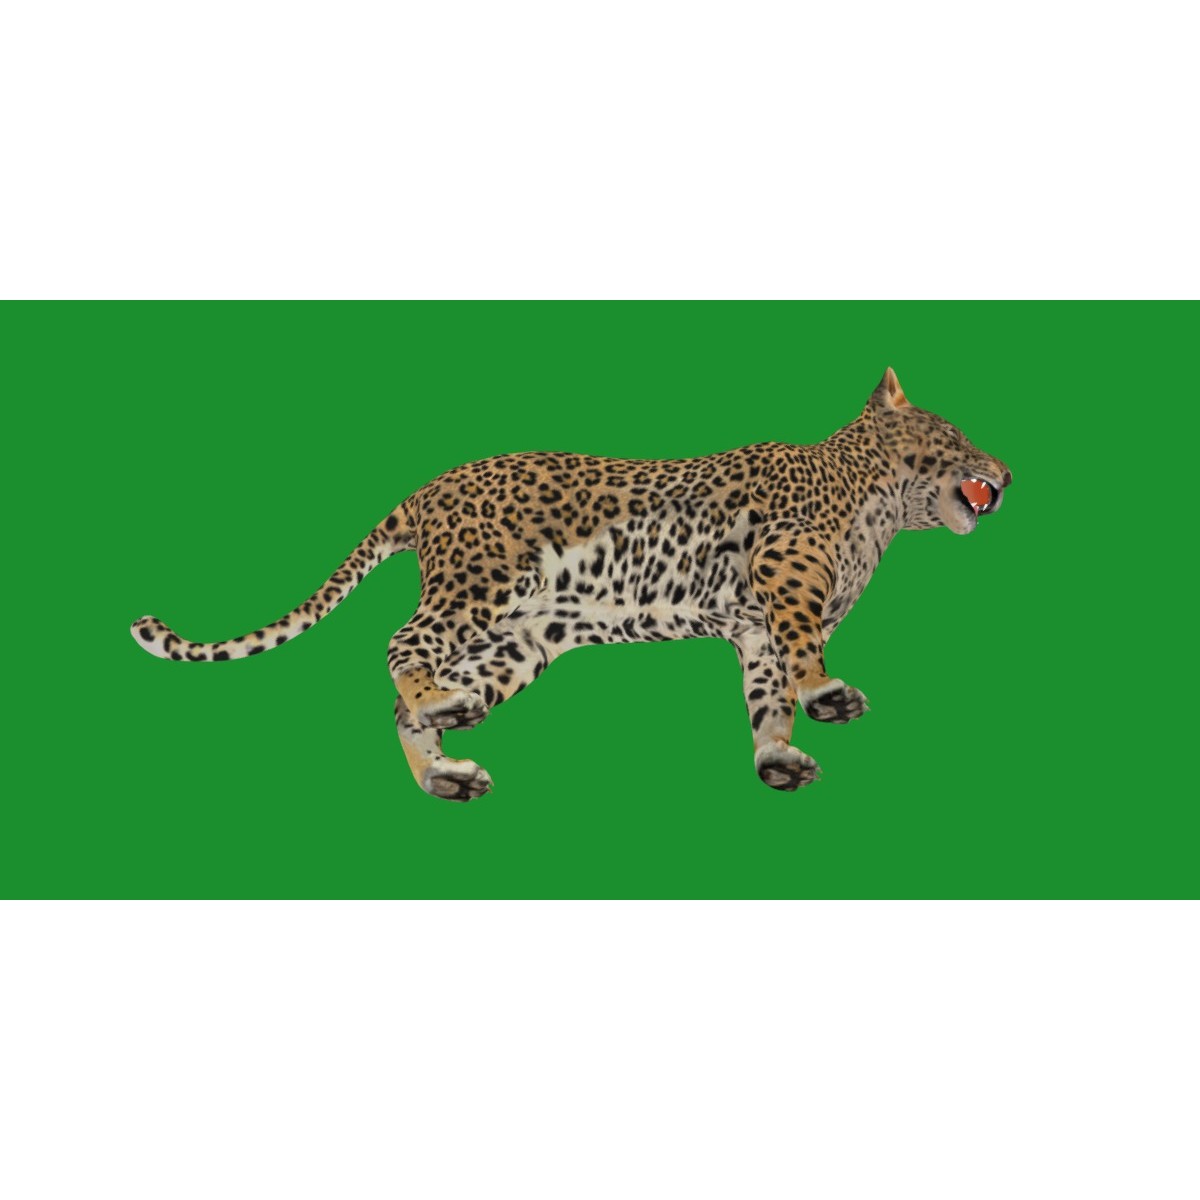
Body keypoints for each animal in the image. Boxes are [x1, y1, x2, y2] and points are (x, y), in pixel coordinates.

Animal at [132, 368, 1011, 800]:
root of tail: (426, 490)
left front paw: (775, 754)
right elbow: (804, 652)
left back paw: (445, 763)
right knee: (401, 644)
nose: (1006, 473)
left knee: (411, 696)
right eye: (958, 432)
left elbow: (765, 694)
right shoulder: (785, 572)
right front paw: (827, 692)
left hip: (520, 638)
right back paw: (439, 711)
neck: (881, 500)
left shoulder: (753, 625)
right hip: (479, 579)